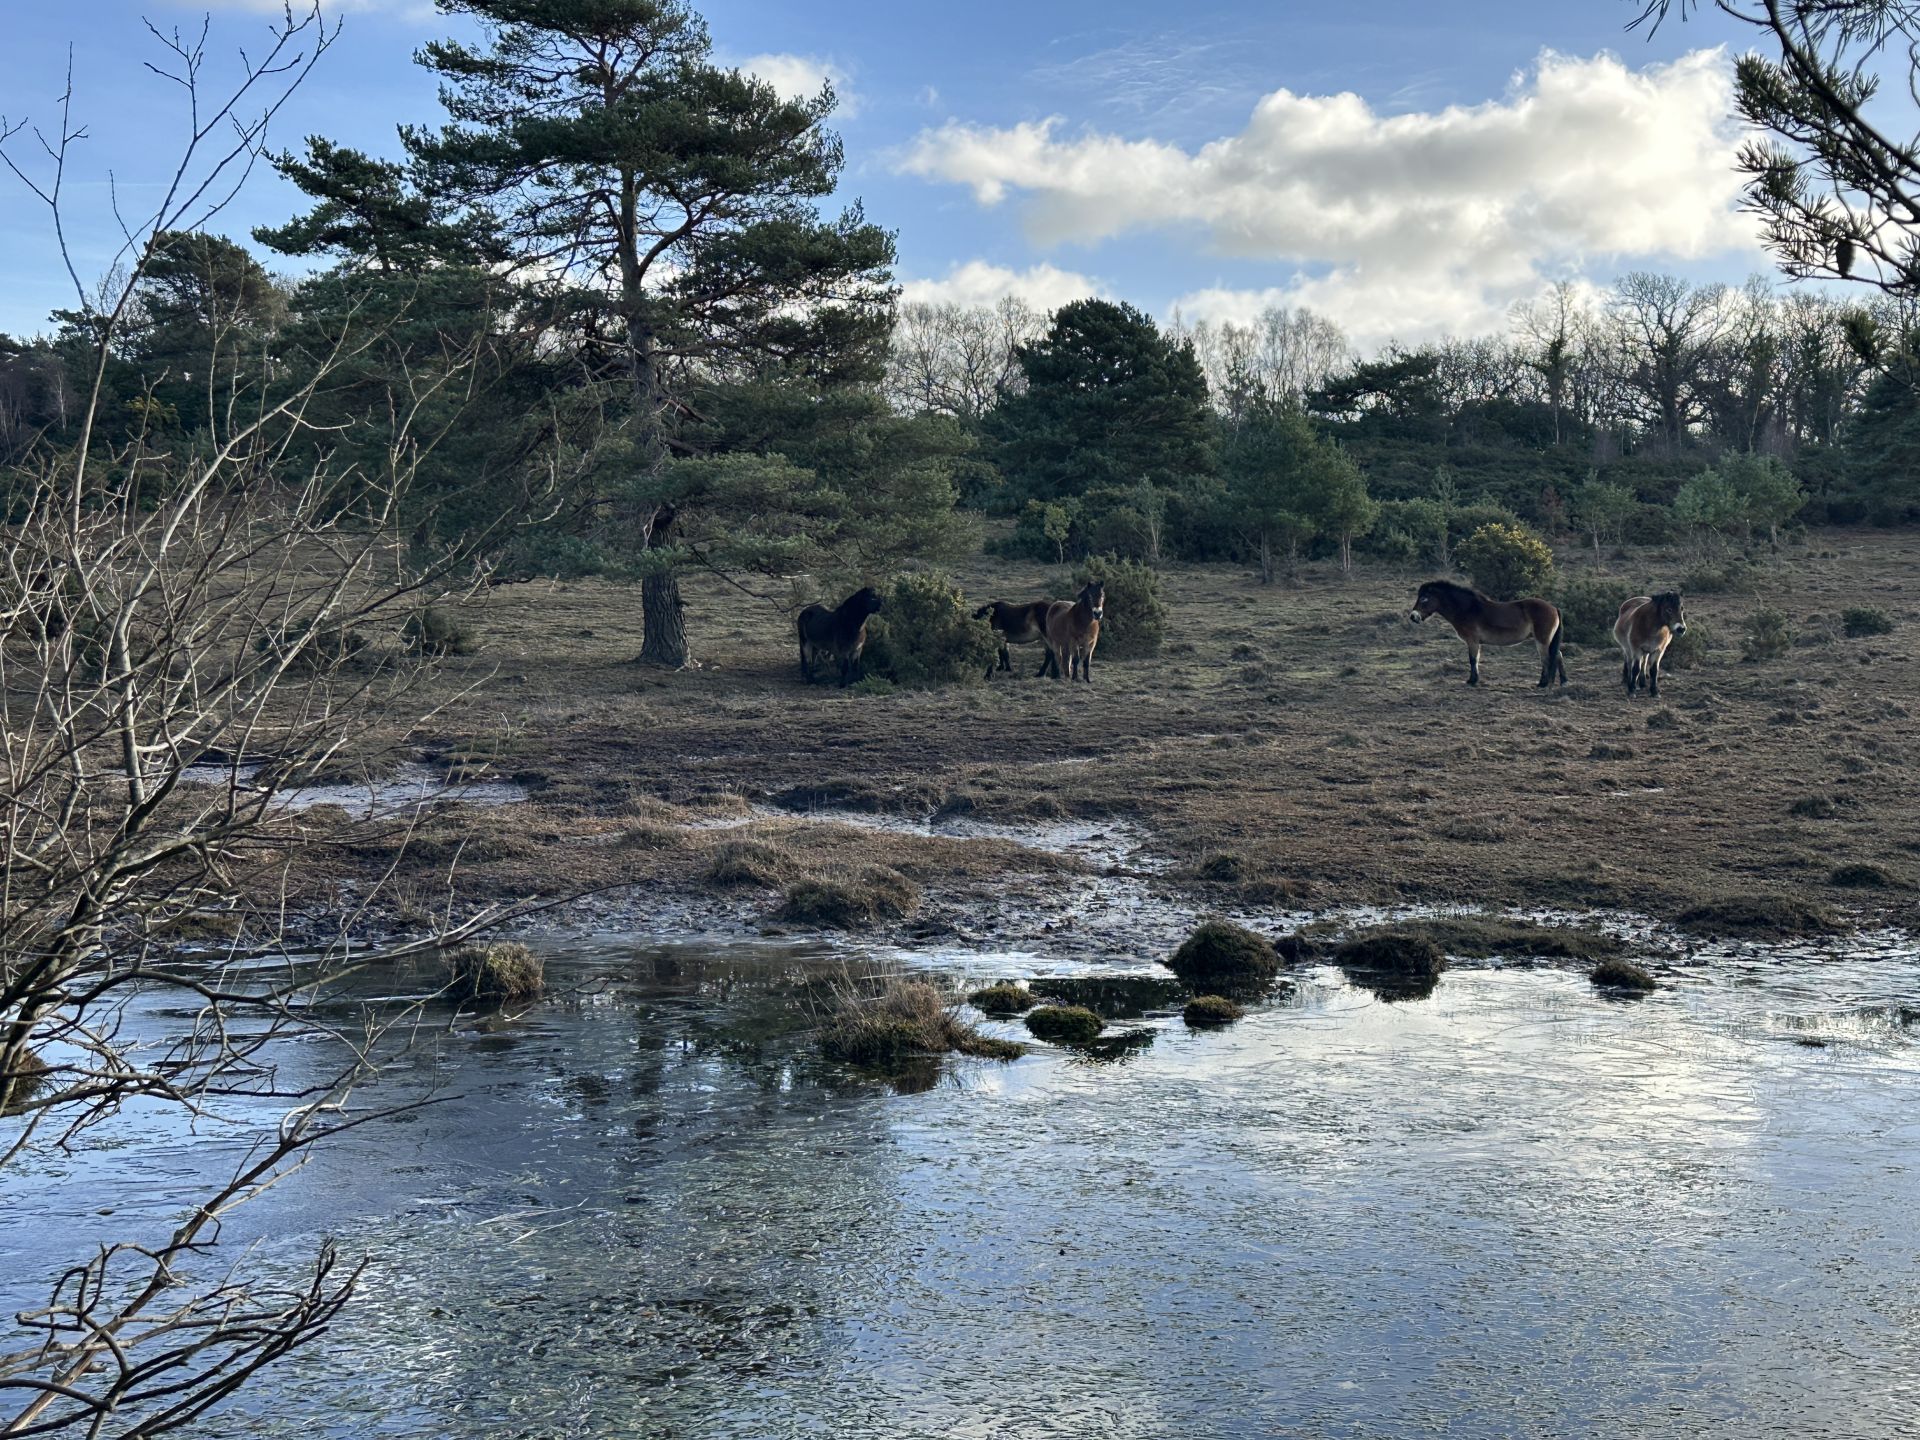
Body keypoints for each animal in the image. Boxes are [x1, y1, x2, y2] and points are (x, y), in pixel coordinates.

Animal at [1408, 579, 1566, 688]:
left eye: (1424, 598)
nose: (1413, 617)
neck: (1467, 609)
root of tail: (1553, 607)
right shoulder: (1476, 642)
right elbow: (1476, 659)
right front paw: (1474, 679)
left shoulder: (1472, 641)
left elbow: (1473, 659)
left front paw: (1472, 681)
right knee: (1557, 655)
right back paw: (1563, 681)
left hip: (1542, 640)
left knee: (1546, 658)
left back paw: (1543, 683)